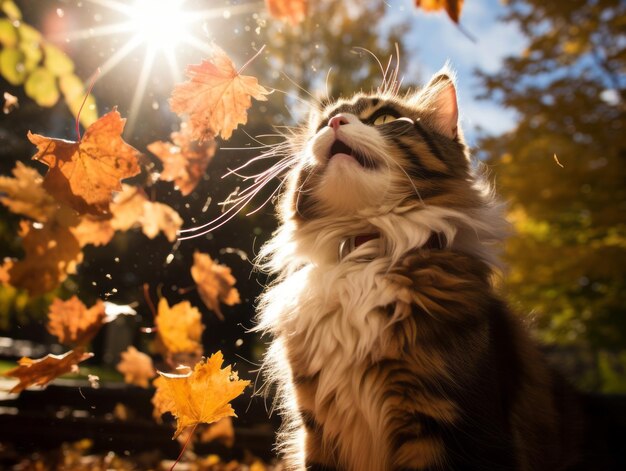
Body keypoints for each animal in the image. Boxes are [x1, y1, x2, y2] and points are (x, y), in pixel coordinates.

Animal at [252, 67, 596, 471]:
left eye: (383, 118)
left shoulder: (447, 424)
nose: (335, 123)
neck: (367, 250)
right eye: (322, 124)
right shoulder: (317, 431)